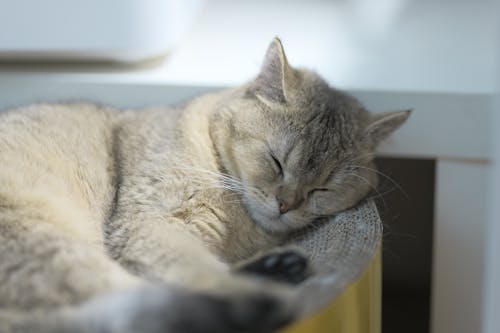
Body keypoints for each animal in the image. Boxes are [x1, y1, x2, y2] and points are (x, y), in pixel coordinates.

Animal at [0, 39, 410, 332]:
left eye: (323, 187)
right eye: (276, 162)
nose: (287, 205)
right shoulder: (149, 224)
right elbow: (194, 269)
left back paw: (278, 269)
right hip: (50, 241)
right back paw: (264, 301)